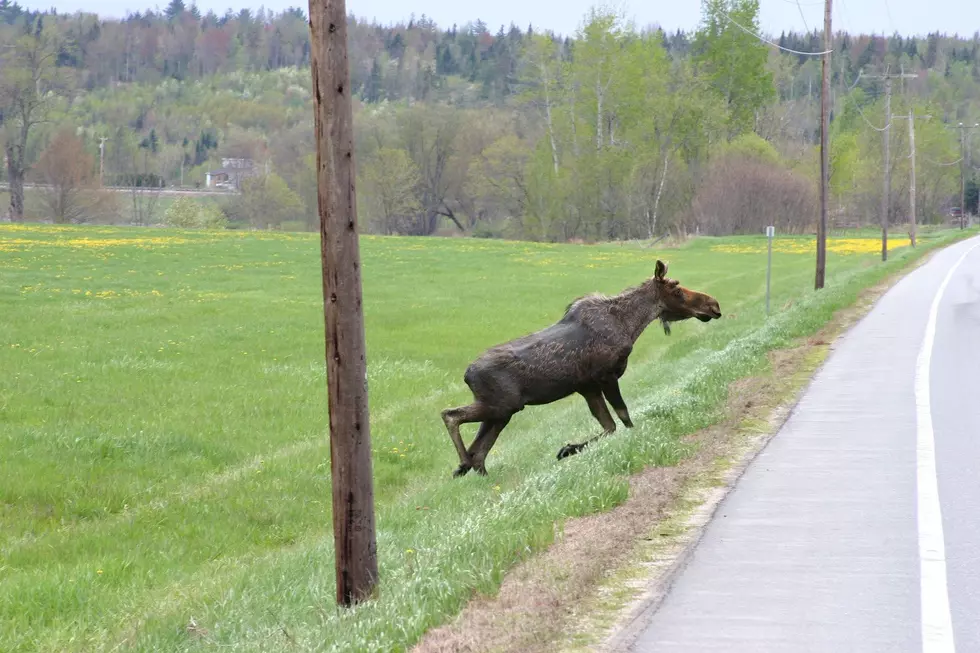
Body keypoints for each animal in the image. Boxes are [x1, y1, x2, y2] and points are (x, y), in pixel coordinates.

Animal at [441, 260, 722, 478]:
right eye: (676, 289)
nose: (714, 305)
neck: (630, 324)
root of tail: (466, 375)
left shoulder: (587, 386)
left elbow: (609, 426)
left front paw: (567, 449)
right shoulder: (605, 376)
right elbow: (624, 417)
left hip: (500, 413)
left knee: (479, 452)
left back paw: (470, 471)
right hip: (502, 406)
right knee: (451, 416)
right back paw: (462, 463)